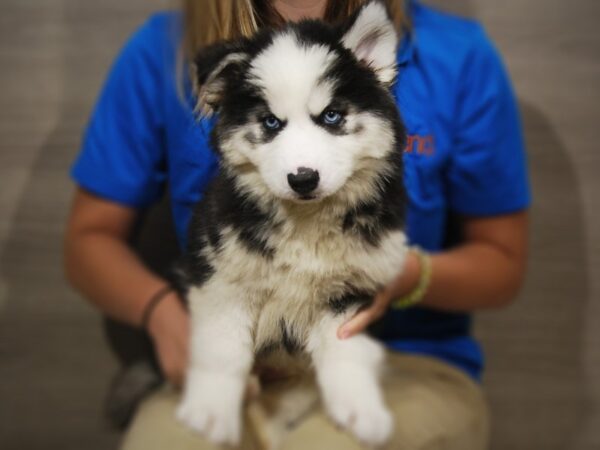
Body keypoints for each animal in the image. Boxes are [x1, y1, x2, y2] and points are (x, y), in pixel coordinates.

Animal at [173, 1, 408, 446]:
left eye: (332, 116)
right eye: (270, 122)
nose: (303, 178)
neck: (305, 224)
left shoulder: (351, 290)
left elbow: (347, 353)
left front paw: (361, 409)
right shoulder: (221, 279)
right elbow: (221, 350)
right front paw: (211, 411)